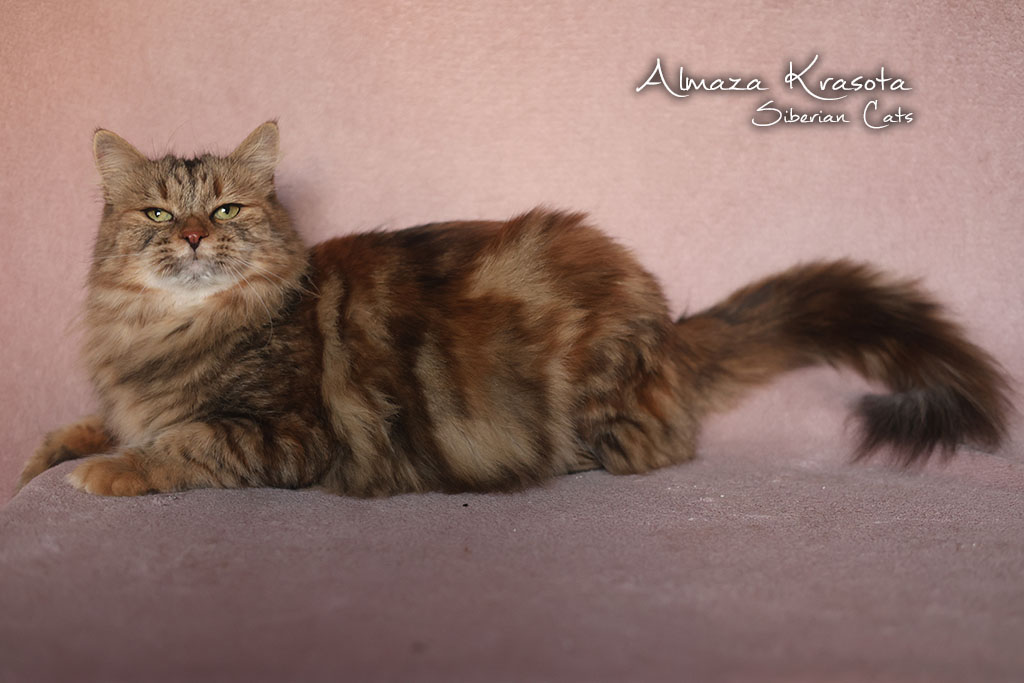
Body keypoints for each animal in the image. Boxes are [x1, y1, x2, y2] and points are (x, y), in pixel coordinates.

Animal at [16, 122, 1011, 497]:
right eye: (157, 213)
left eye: (225, 210)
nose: (189, 236)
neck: (170, 329)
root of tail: (664, 325)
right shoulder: (127, 393)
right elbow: (94, 422)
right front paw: (43, 454)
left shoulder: (287, 431)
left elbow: (184, 442)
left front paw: (107, 471)